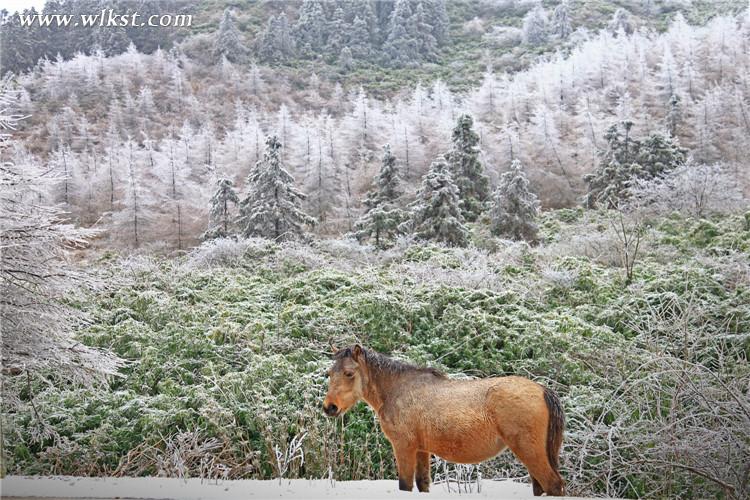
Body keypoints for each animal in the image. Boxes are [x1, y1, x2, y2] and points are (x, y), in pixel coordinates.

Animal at [323, 344, 565, 496]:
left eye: (349, 373)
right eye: (329, 373)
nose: (329, 407)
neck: (397, 390)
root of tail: (543, 390)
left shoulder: (404, 447)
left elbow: (405, 485)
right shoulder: (421, 450)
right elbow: (422, 484)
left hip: (529, 451)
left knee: (553, 484)